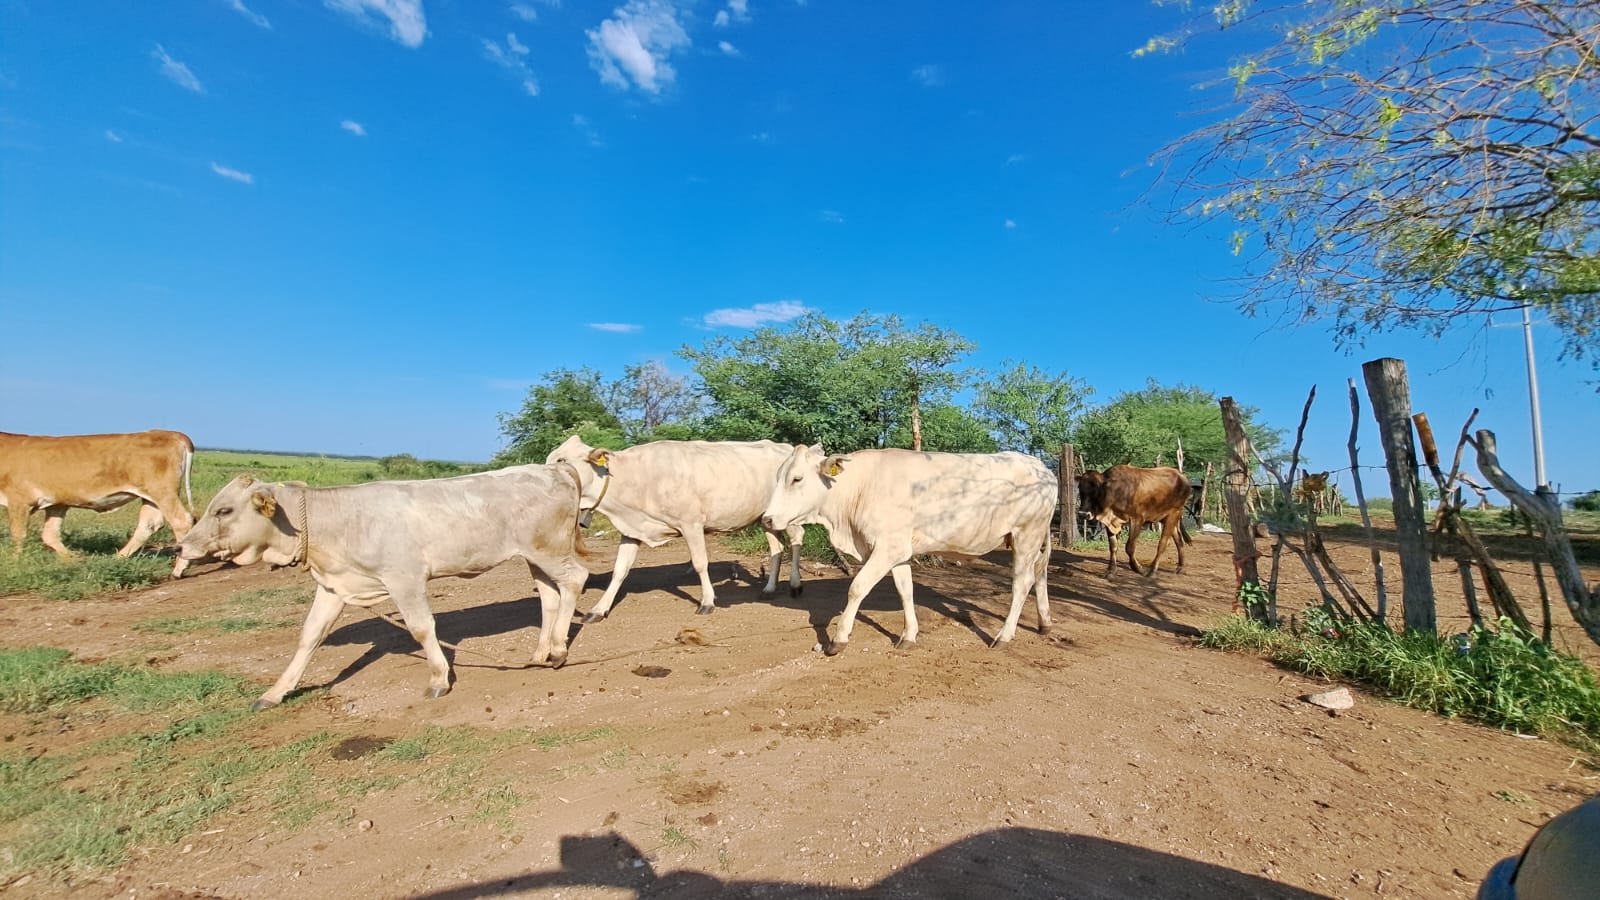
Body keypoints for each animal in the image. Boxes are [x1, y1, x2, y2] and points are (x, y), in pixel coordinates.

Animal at [0, 430, 196, 575]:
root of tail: (172, 434)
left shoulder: (19, 501)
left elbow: (18, 535)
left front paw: (15, 563)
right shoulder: (58, 503)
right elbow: (50, 534)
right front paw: (75, 560)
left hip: (163, 492)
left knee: (181, 521)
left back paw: (179, 568)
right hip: (151, 497)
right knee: (149, 524)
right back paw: (118, 558)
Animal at [176, 465, 592, 710]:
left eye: (224, 510)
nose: (182, 546)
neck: (336, 521)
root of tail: (551, 467)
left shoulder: (404, 577)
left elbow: (421, 629)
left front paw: (438, 678)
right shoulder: (333, 586)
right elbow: (310, 635)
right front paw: (276, 692)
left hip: (549, 549)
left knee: (575, 579)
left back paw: (558, 649)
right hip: (535, 555)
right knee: (549, 596)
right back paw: (541, 651)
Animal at [546, 436, 806, 622]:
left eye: (561, 460)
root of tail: (783, 447)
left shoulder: (691, 523)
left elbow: (700, 563)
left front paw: (707, 602)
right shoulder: (631, 531)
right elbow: (620, 570)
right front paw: (599, 609)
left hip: (789, 517)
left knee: (796, 540)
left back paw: (795, 584)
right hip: (766, 518)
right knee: (776, 549)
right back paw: (769, 588)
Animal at [760, 444, 1056, 655]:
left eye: (797, 479)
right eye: (778, 477)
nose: (767, 519)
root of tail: (1042, 467)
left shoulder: (887, 547)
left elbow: (857, 587)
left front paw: (838, 639)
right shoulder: (899, 549)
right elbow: (905, 591)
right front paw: (909, 635)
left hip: (1026, 534)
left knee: (1022, 583)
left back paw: (1004, 636)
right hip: (1035, 539)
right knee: (1040, 574)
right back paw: (1044, 623)